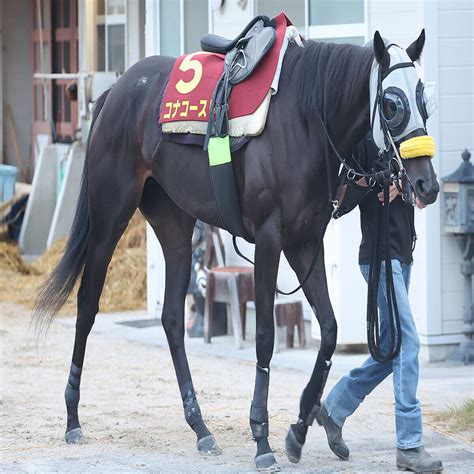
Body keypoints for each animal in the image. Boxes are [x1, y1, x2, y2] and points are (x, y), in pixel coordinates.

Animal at [34, 28, 440, 470]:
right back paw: (72, 418)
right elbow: (264, 336)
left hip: (176, 230)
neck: (306, 118)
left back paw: (200, 427)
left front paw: (299, 427)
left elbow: (330, 330)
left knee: (172, 320)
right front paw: (262, 438)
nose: (427, 184)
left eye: (423, 100)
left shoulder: (304, 243)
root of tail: (116, 91)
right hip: (109, 219)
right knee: (88, 305)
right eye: (392, 104)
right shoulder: (269, 240)